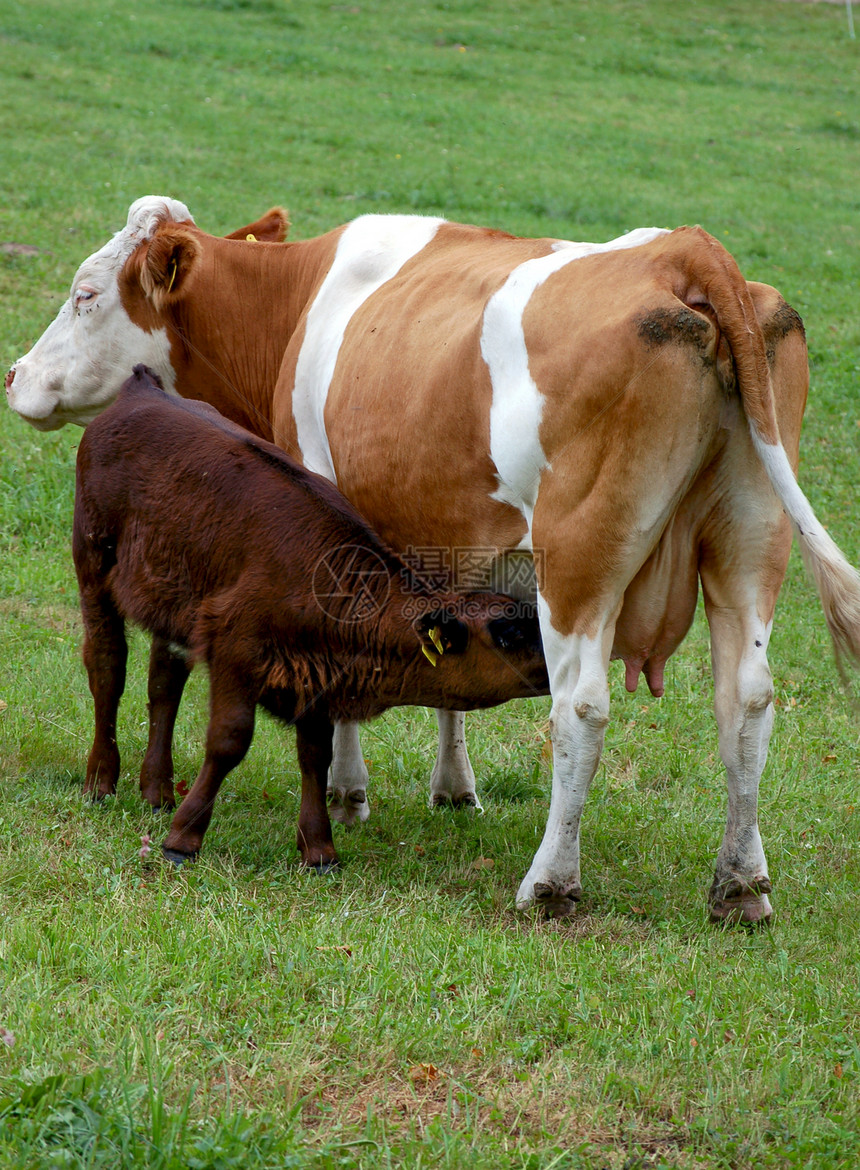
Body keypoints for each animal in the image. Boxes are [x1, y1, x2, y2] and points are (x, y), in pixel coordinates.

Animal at [72, 365, 545, 870]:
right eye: (509, 632)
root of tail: (143, 388)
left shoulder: (316, 673)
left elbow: (316, 754)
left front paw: (318, 848)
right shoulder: (237, 652)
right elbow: (228, 742)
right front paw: (184, 837)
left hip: (172, 598)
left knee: (164, 682)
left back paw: (157, 789)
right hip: (93, 564)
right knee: (107, 667)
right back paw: (100, 780)